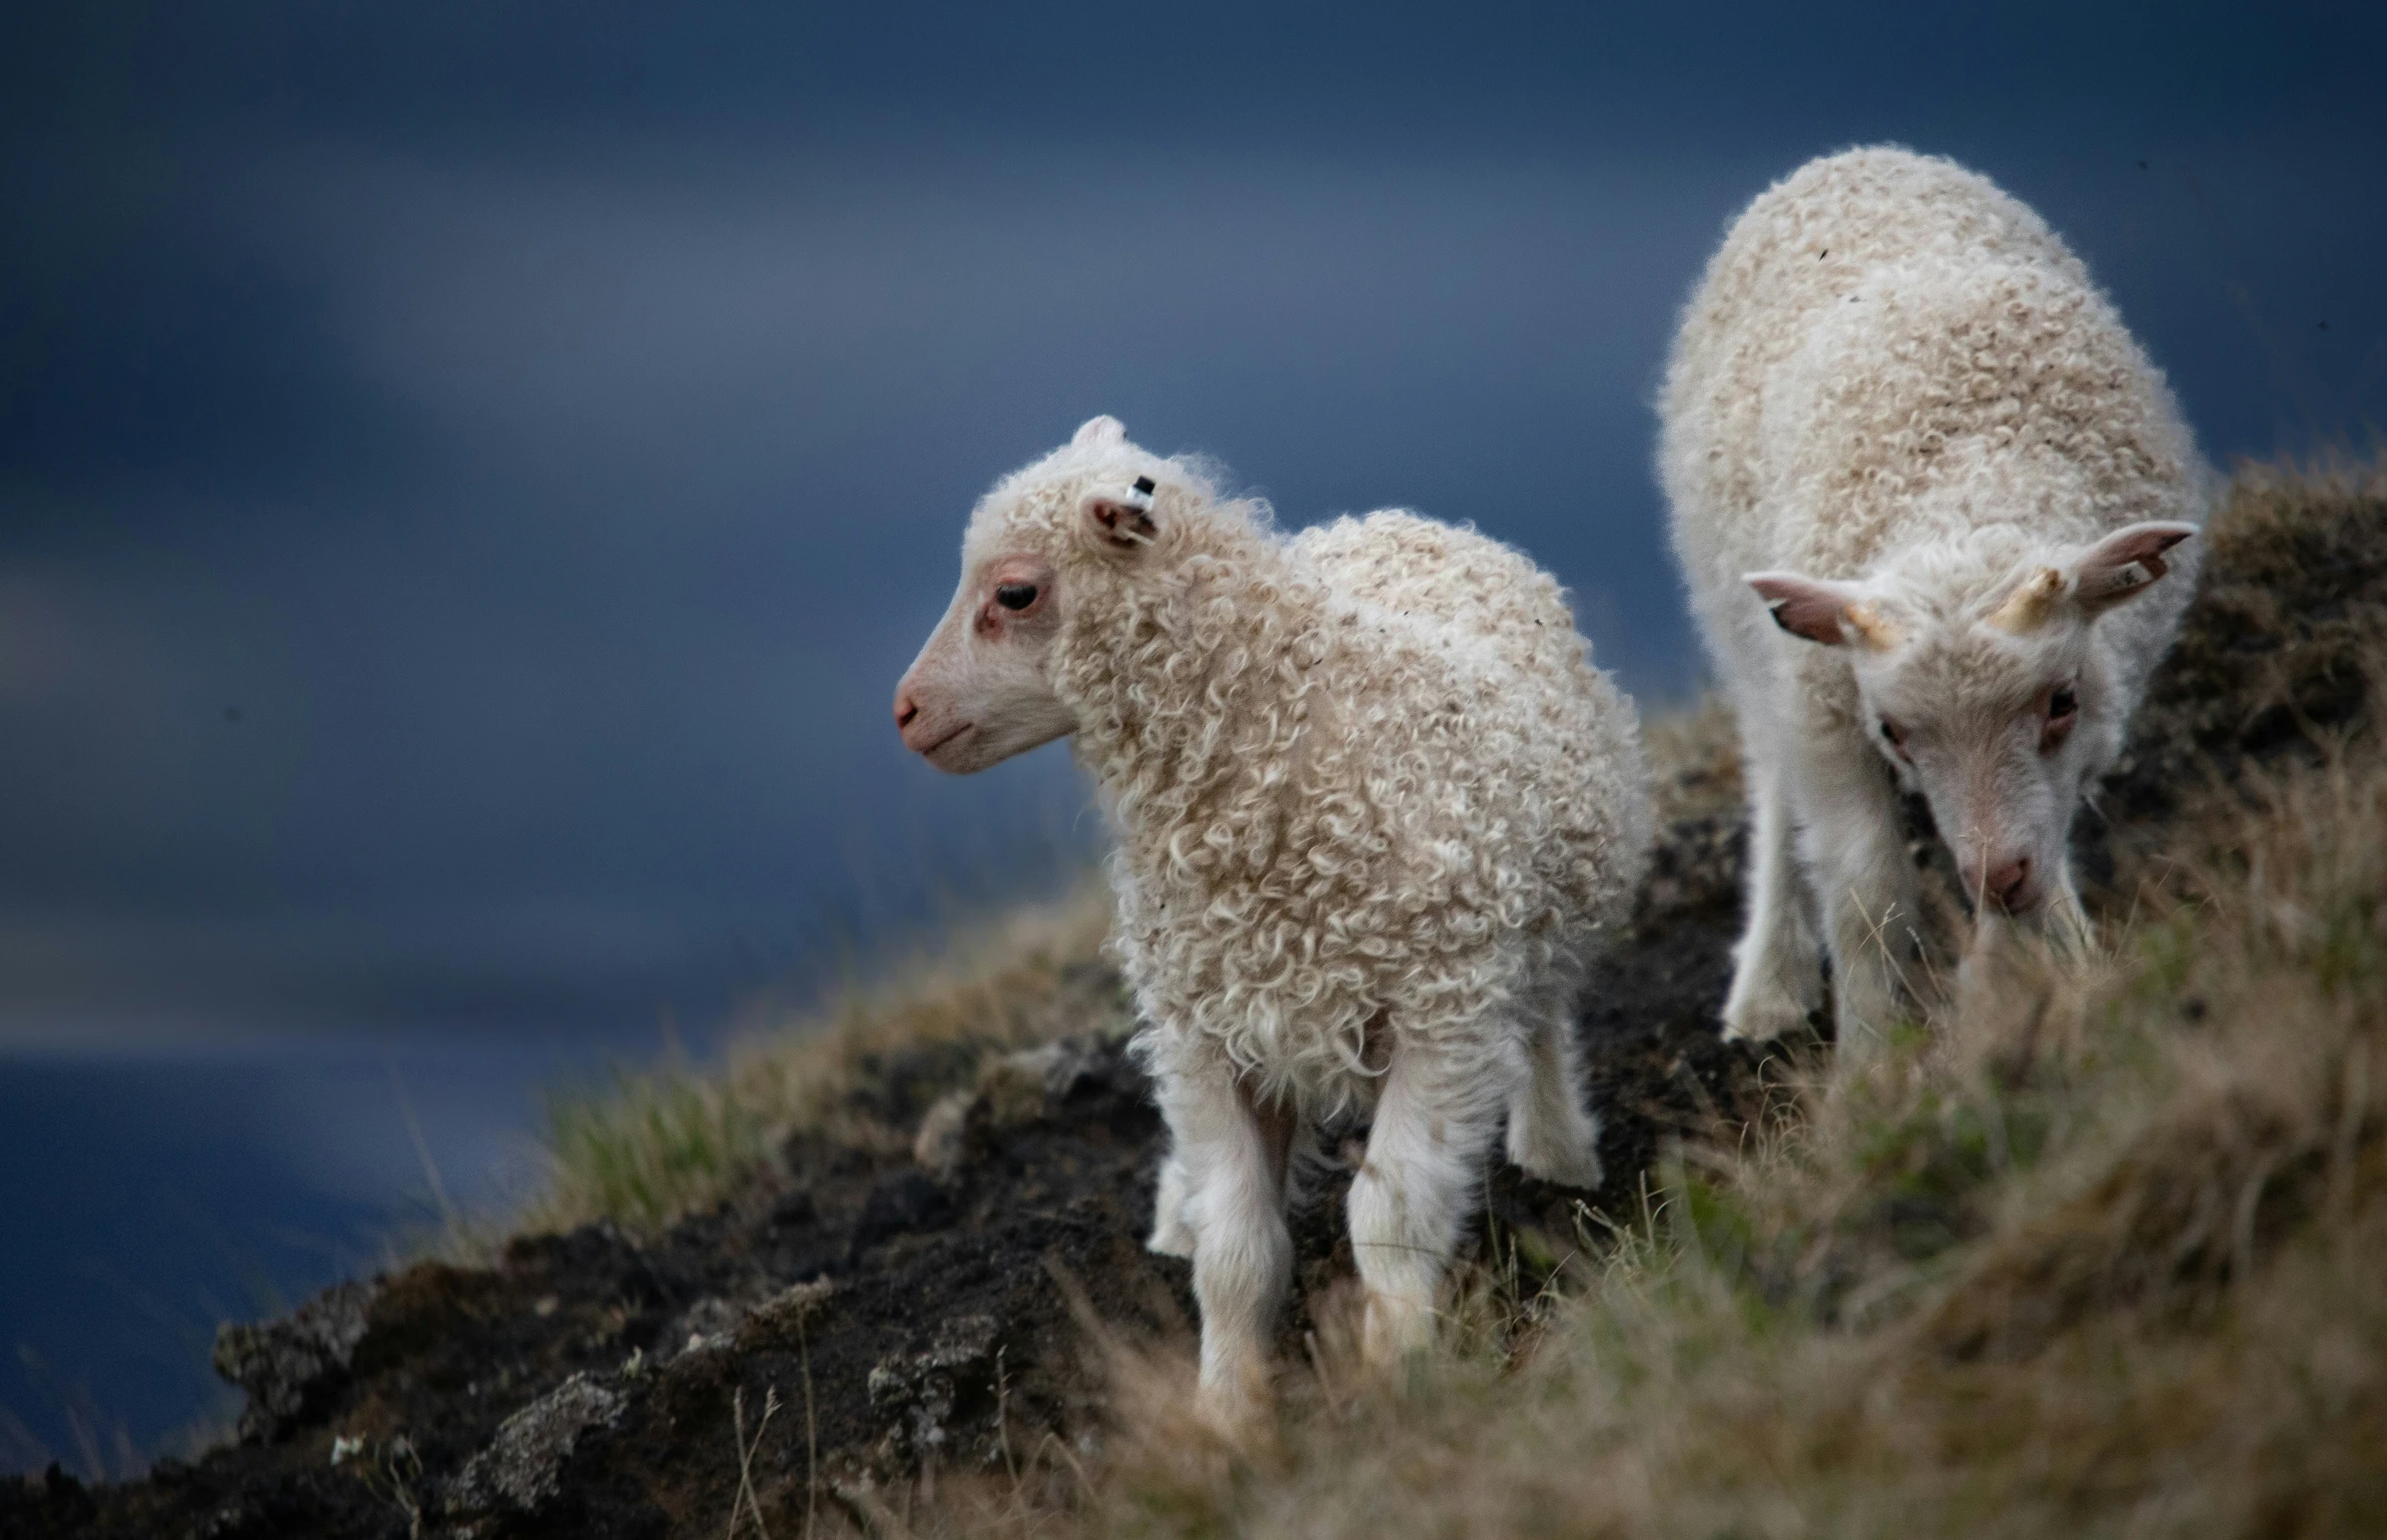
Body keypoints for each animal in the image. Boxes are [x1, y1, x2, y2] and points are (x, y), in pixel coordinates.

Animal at [888, 414, 1651, 1422]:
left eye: (1015, 591)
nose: (906, 712)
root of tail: (1400, 520)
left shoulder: (1442, 1012)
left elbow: (1390, 1217)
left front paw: (1403, 1376)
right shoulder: (1210, 1036)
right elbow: (1236, 1253)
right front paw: (1228, 1416)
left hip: (1545, 911)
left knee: (1545, 1018)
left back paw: (1559, 1155)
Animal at [1661, 150, 2214, 1050]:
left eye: (2060, 702)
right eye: (1892, 732)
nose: (1997, 875)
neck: (1963, 480)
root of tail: (1852, 157)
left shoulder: (2093, 714)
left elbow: (2041, 844)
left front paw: (2018, 987)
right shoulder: (1826, 708)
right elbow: (1865, 891)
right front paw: (1870, 1060)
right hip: (1736, 617)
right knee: (1772, 773)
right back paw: (1768, 987)